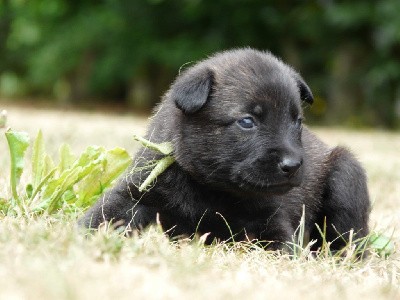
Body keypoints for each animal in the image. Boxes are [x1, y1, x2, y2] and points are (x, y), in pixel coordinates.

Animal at [79, 48, 370, 251]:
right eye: (247, 121)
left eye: (297, 121)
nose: (293, 165)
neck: (211, 188)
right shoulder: (139, 189)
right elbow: (104, 215)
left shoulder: (271, 220)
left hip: (345, 174)